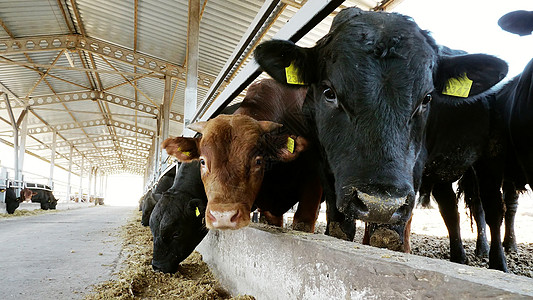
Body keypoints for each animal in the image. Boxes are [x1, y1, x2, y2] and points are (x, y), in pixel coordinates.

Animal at [162, 79, 320, 230]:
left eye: (258, 161)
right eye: (202, 162)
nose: (223, 217)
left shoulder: (314, 180)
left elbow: (303, 222)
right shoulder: (269, 212)